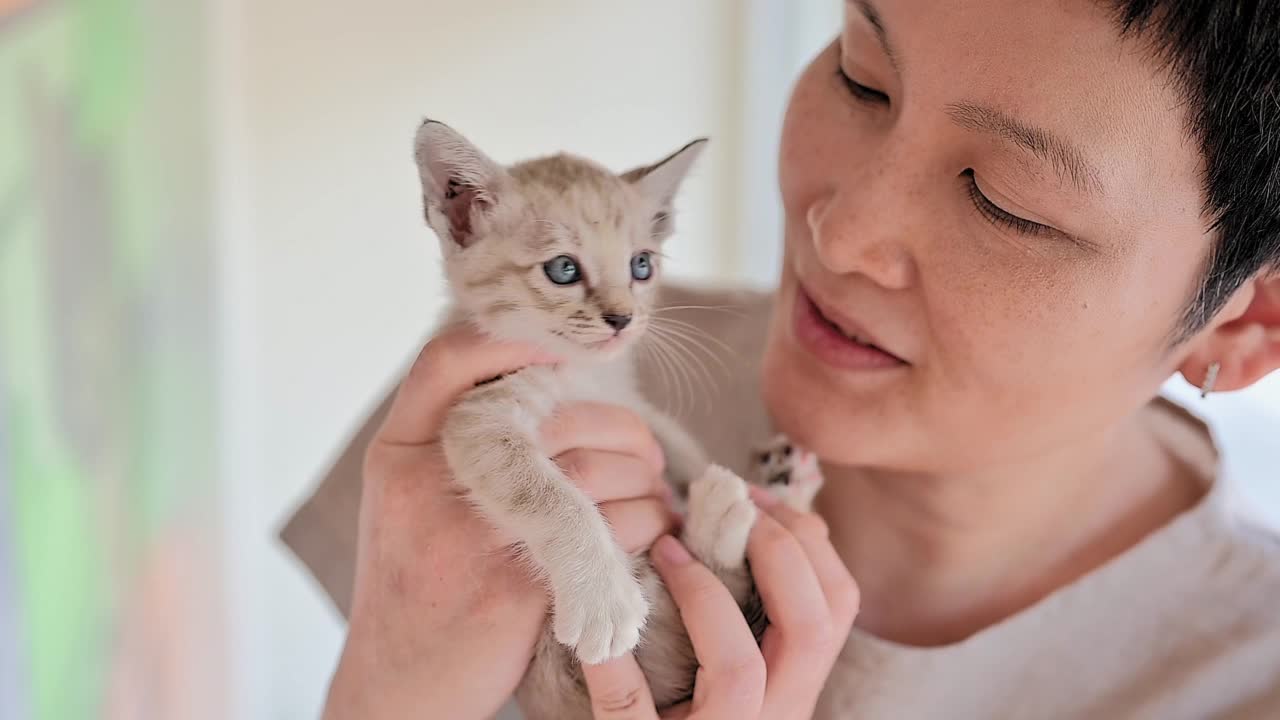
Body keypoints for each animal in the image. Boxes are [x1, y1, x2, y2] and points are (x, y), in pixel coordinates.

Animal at [414, 120, 824, 712]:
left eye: (641, 265)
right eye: (563, 269)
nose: (623, 319)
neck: (585, 373)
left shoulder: (632, 405)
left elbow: (675, 442)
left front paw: (699, 472)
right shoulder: (478, 415)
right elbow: (549, 495)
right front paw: (601, 596)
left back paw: (780, 483)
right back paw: (725, 516)